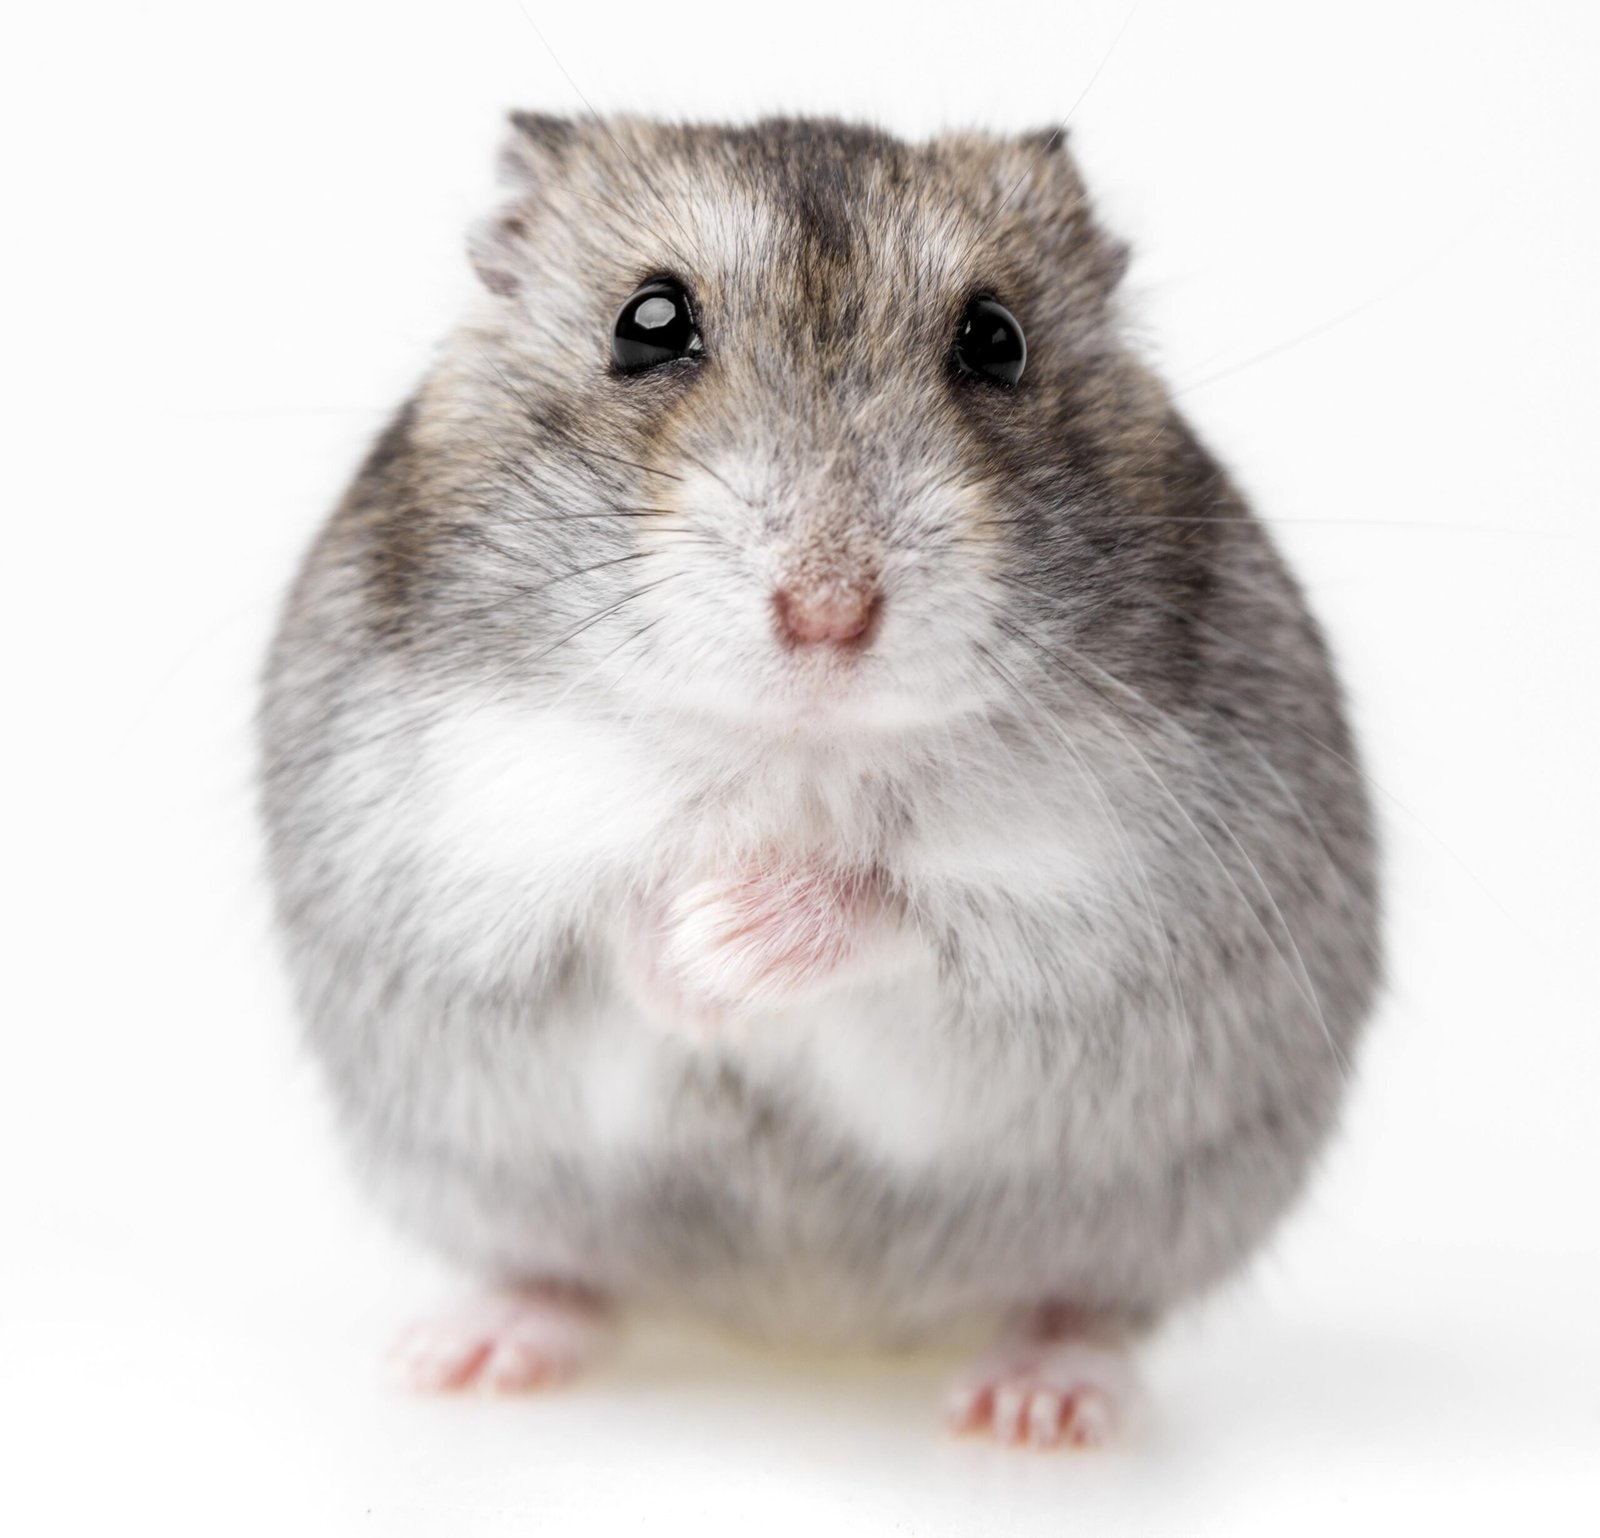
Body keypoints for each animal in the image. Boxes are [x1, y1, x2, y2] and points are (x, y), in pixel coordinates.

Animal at [259, 115, 1381, 1445]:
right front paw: (692, 964)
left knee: (1083, 1302)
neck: (795, 742)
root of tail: (807, 1327)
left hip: (1156, 1207)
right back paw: (469, 1351)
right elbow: (597, 900)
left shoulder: (1104, 875)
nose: (829, 612)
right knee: (569, 1273)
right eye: (647, 323)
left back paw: (1038, 1403)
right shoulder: (458, 824)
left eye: (995, 340)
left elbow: (897, 904)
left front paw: (730, 943)